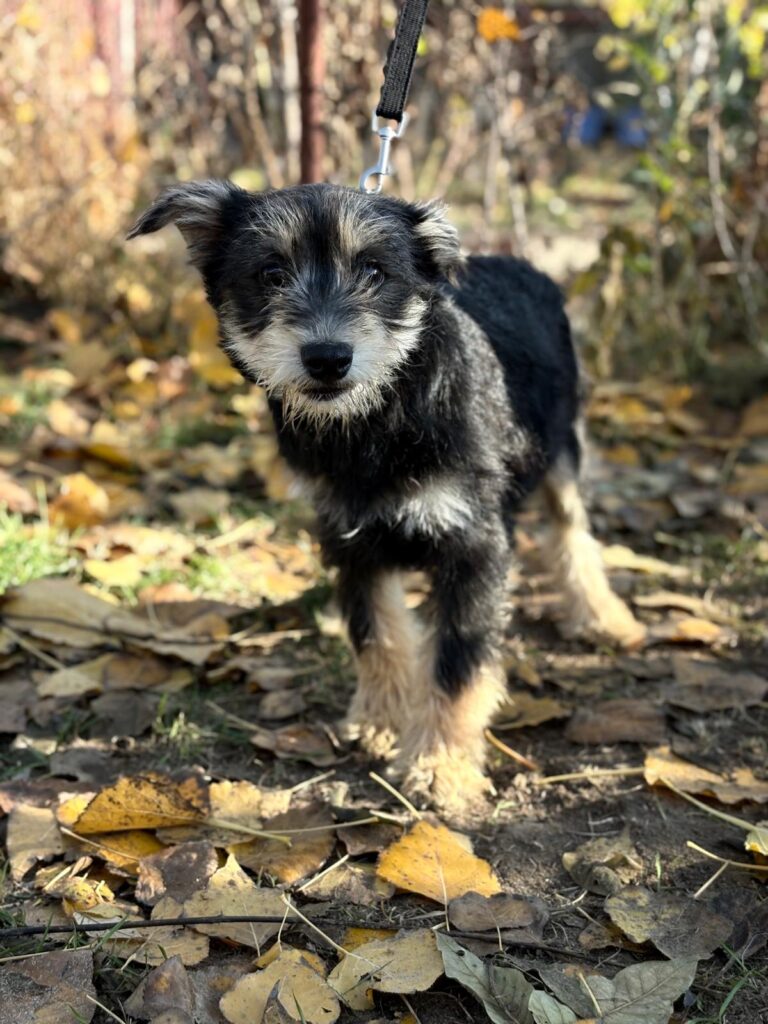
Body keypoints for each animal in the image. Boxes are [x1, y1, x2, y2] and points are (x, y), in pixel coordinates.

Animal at [128, 181, 645, 819]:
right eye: (271, 273)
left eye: (375, 271)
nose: (327, 358)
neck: (377, 421)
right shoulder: (349, 537)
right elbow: (374, 631)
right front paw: (380, 720)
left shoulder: (474, 544)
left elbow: (457, 662)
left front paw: (439, 768)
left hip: (563, 448)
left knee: (573, 531)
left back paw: (602, 616)